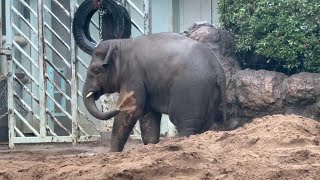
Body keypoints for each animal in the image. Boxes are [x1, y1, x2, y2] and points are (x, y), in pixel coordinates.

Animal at [78, 31, 226, 151]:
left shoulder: (133, 75)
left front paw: (112, 153)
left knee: (186, 125)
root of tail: (217, 69)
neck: (121, 43)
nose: (118, 106)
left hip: (191, 92)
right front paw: (150, 146)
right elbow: (148, 115)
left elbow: (132, 110)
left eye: (96, 71)